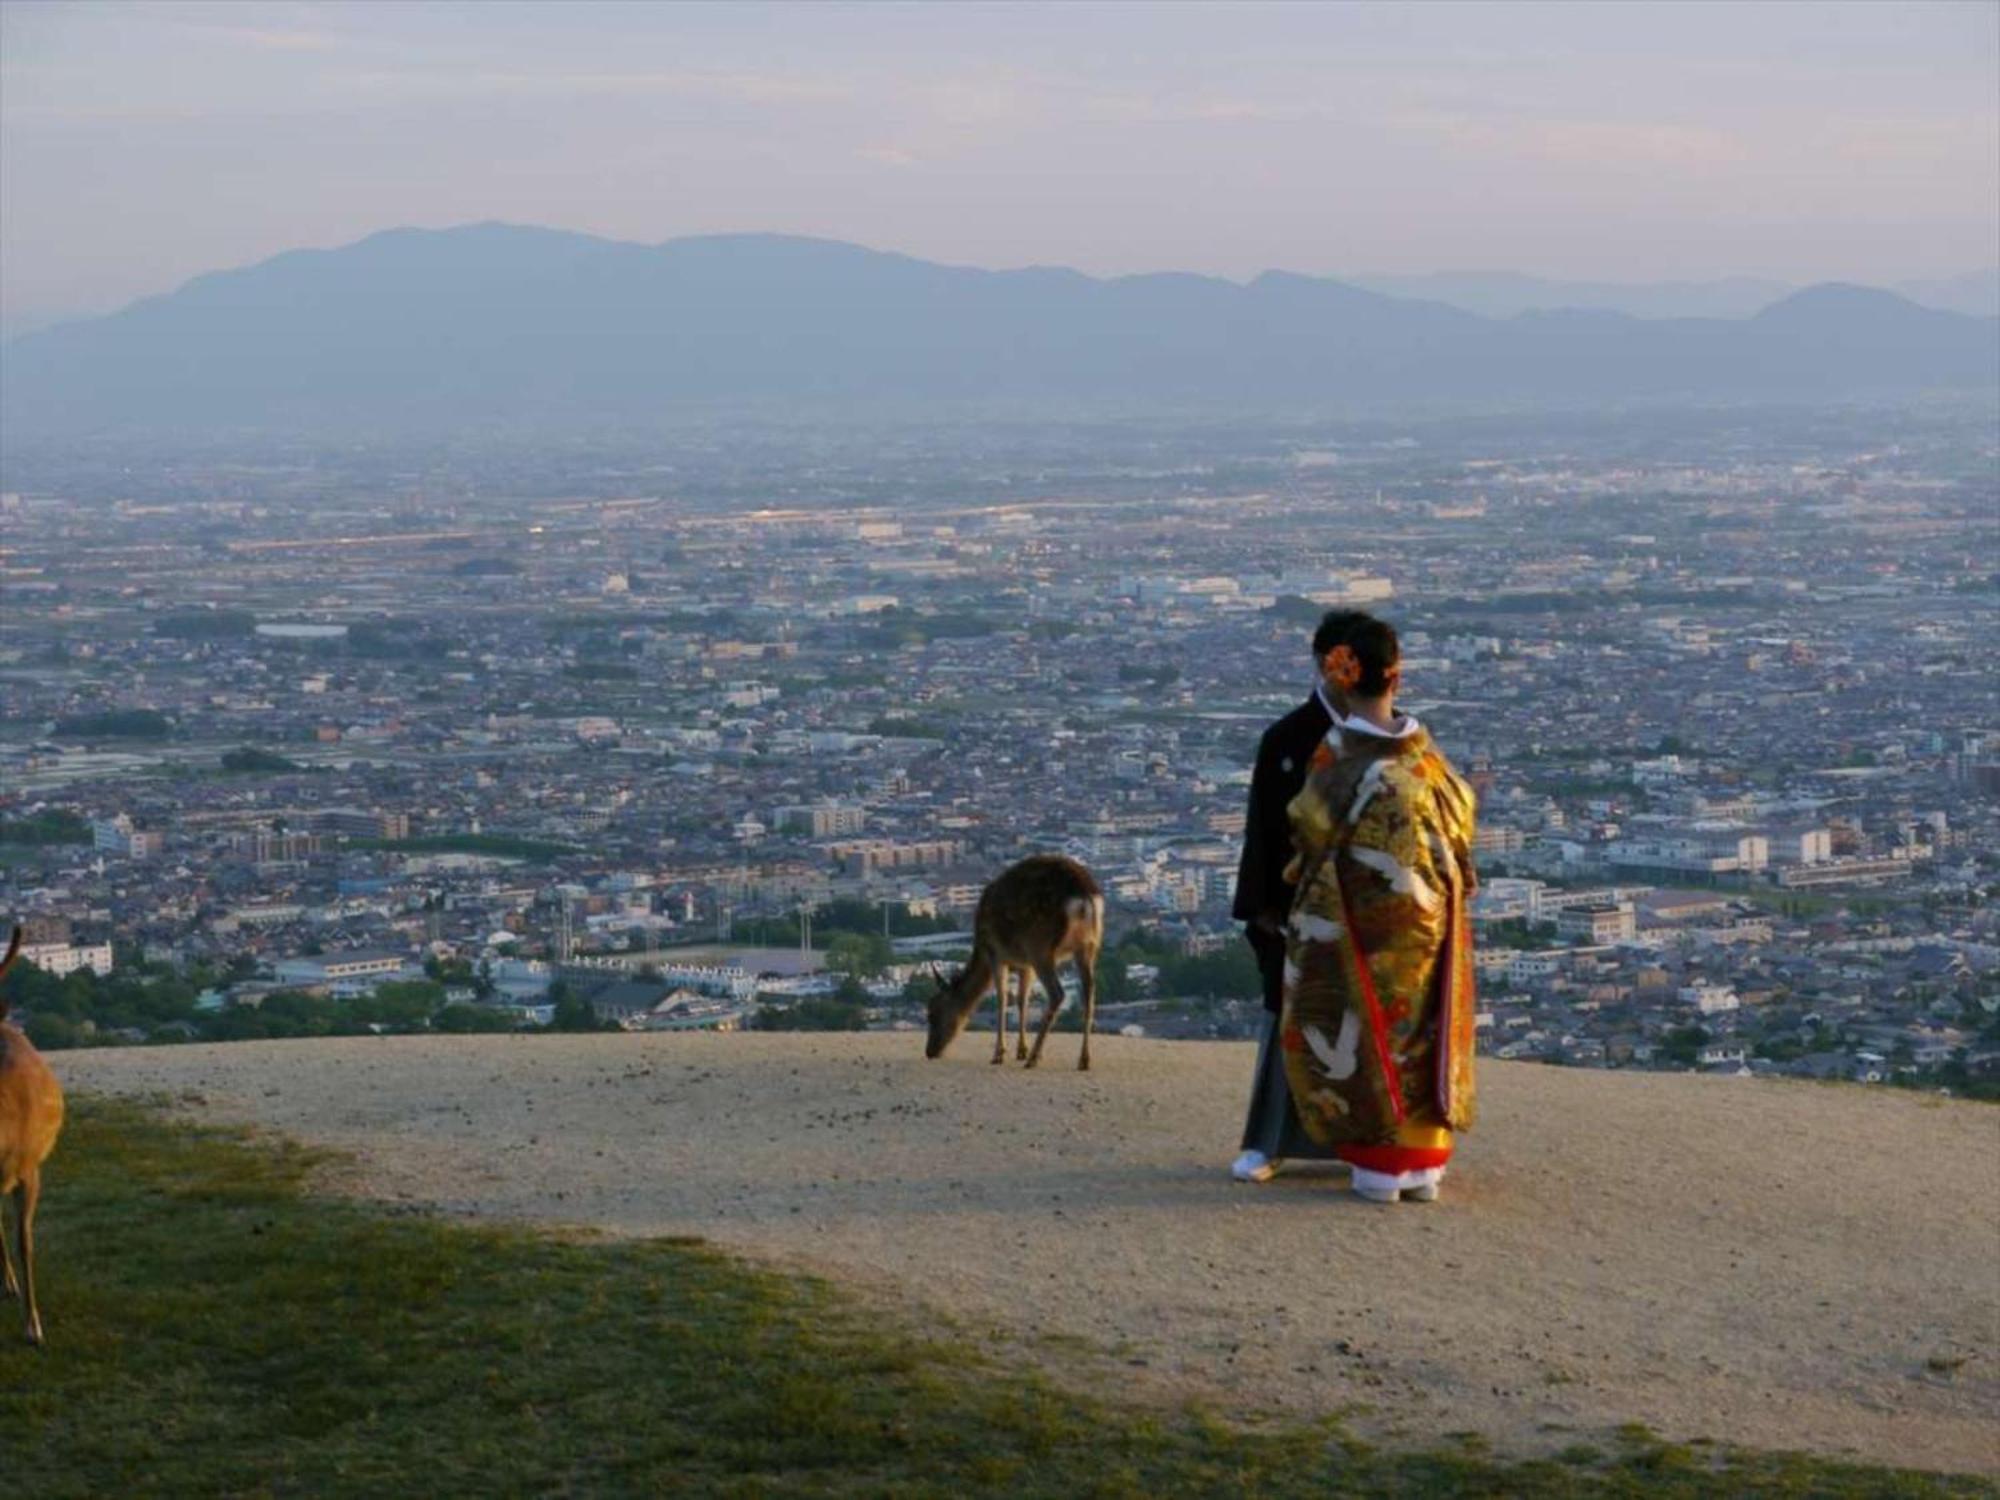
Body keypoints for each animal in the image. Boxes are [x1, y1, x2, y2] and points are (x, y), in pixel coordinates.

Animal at [924, 856, 1112, 1072]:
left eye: (933, 1012)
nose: (929, 1051)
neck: (980, 950)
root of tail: (1084, 898)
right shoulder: (1025, 964)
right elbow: (1022, 999)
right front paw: (1021, 1050)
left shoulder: (996, 953)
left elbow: (1003, 999)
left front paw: (999, 1054)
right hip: (1089, 946)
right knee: (1090, 993)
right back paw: (1083, 1059)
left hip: (1040, 946)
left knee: (1057, 993)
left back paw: (1034, 1058)